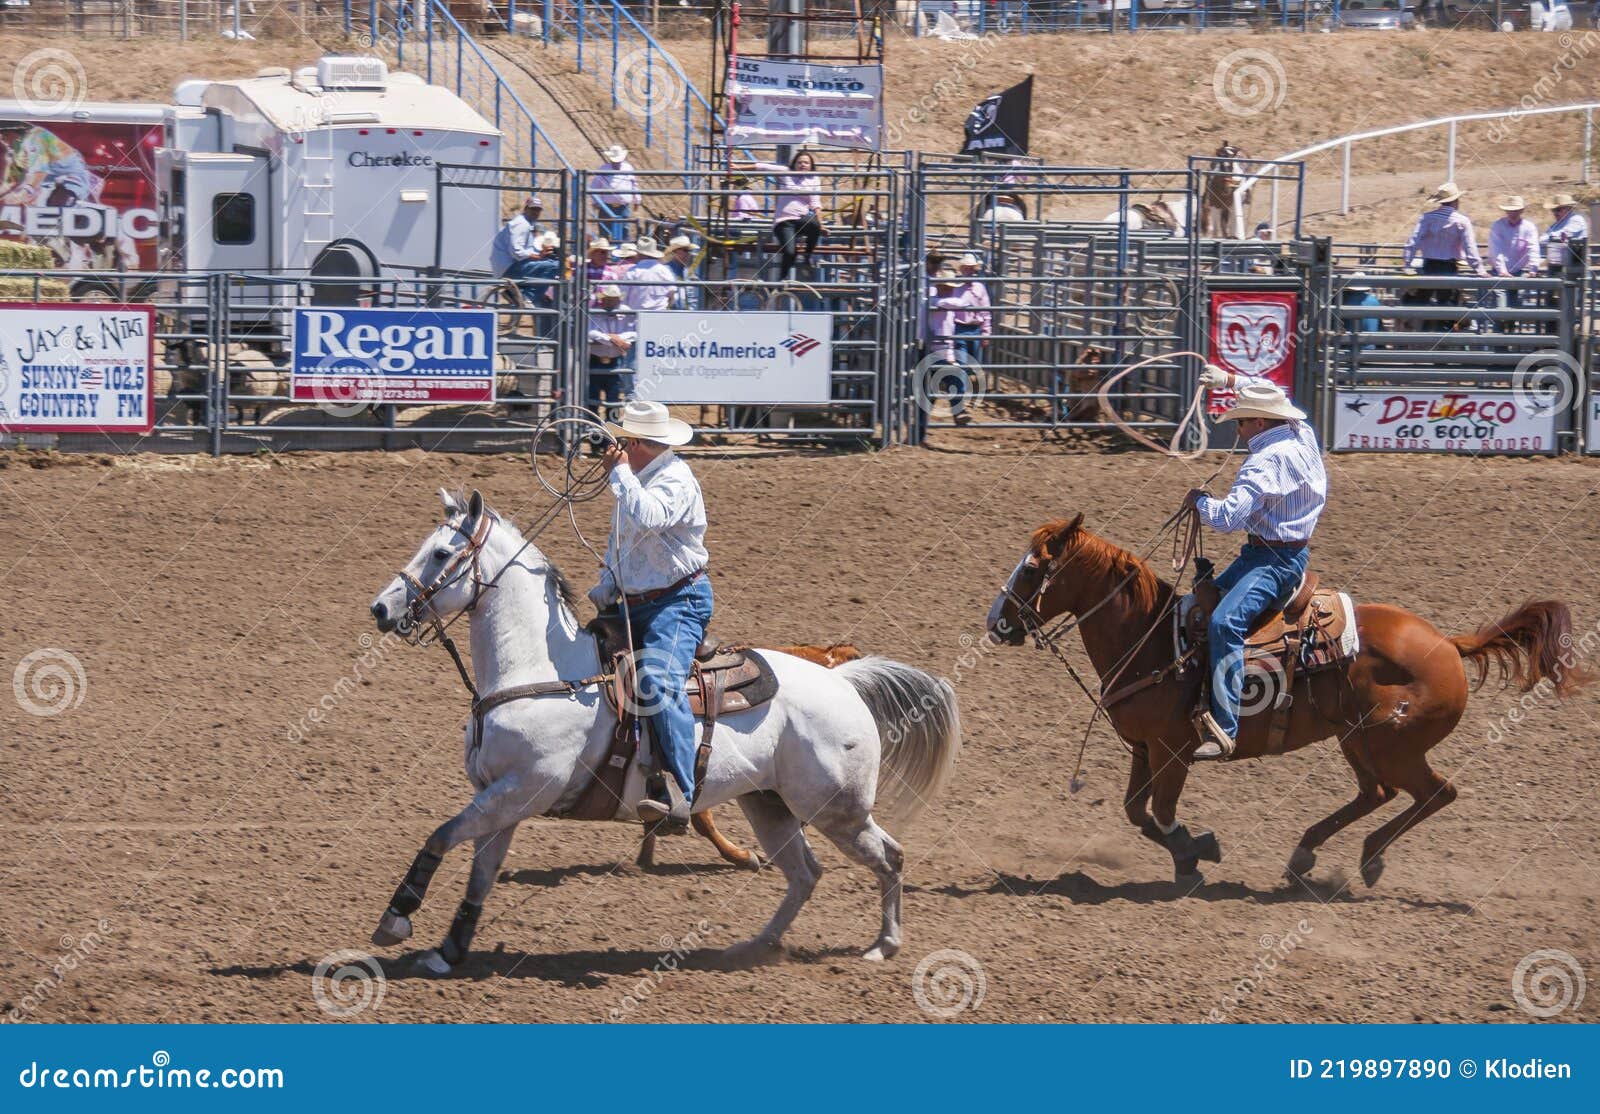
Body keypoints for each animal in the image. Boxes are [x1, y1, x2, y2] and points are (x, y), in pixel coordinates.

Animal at [368, 492, 953, 973]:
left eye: (440, 554)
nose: (381, 608)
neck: (543, 671)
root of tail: (843, 682)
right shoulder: (503, 797)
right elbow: (481, 872)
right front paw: (449, 950)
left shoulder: (521, 789)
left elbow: (440, 835)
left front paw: (397, 919)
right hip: (771, 805)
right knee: (806, 873)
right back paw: (753, 947)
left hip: (836, 809)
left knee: (889, 857)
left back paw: (883, 945)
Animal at [979, 512, 1580, 889]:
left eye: (1032, 567)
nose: (996, 622)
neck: (1150, 639)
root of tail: (1449, 645)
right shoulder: (1143, 748)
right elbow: (1136, 812)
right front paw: (1193, 853)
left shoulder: (1174, 750)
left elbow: (1163, 812)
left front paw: (1194, 854)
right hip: (1356, 739)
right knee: (1378, 793)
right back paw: (1304, 855)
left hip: (1395, 745)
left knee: (1435, 793)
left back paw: (1369, 859)